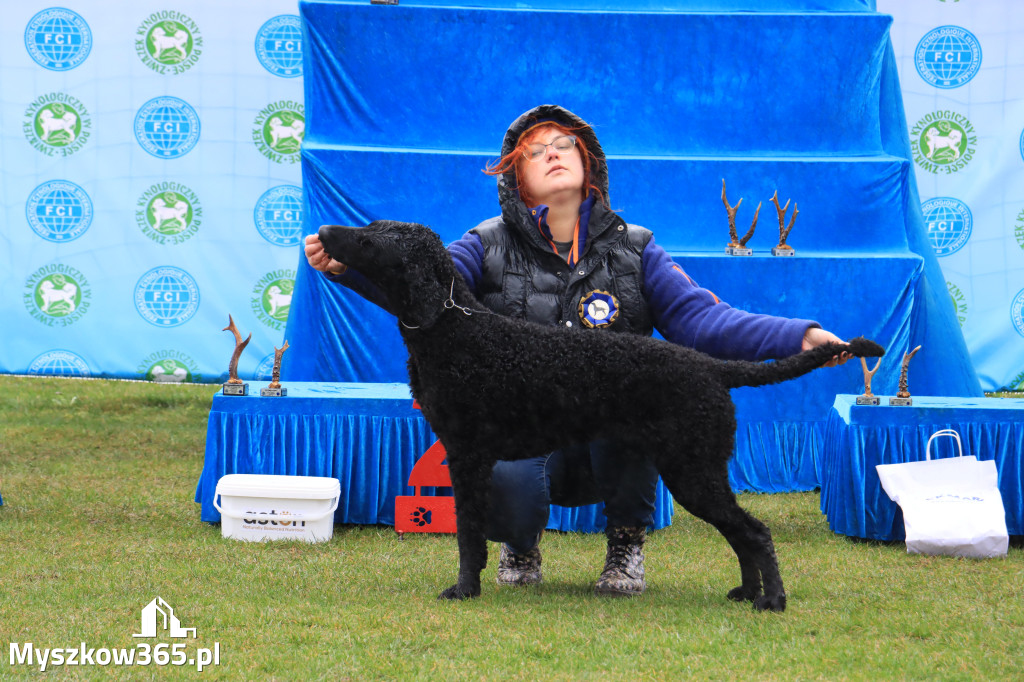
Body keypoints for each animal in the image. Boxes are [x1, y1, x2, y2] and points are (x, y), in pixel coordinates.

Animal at [315, 219, 884, 610]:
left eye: (370, 240)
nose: (322, 231)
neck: (456, 328)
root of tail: (711, 366)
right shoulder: (468, 457)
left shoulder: (466, 457)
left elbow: (469, 535)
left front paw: (464, 589)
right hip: (696, 472)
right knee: (741, 534)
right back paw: (747, 593)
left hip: (693, 470)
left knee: (755, 532)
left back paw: (772, 600)